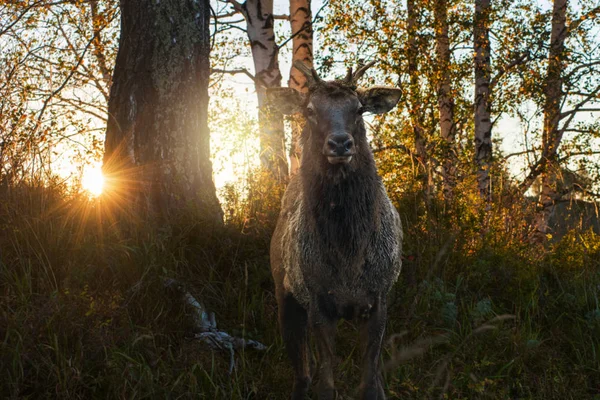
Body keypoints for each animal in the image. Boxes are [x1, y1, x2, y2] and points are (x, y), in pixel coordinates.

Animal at [270, 60, 404, 400]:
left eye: (359, 109)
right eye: (309, 110)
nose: (340, 142)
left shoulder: (379, 296)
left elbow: (371, 382)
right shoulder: (318, 299)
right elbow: (326, 383)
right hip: (283, 291)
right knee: (301, 370)